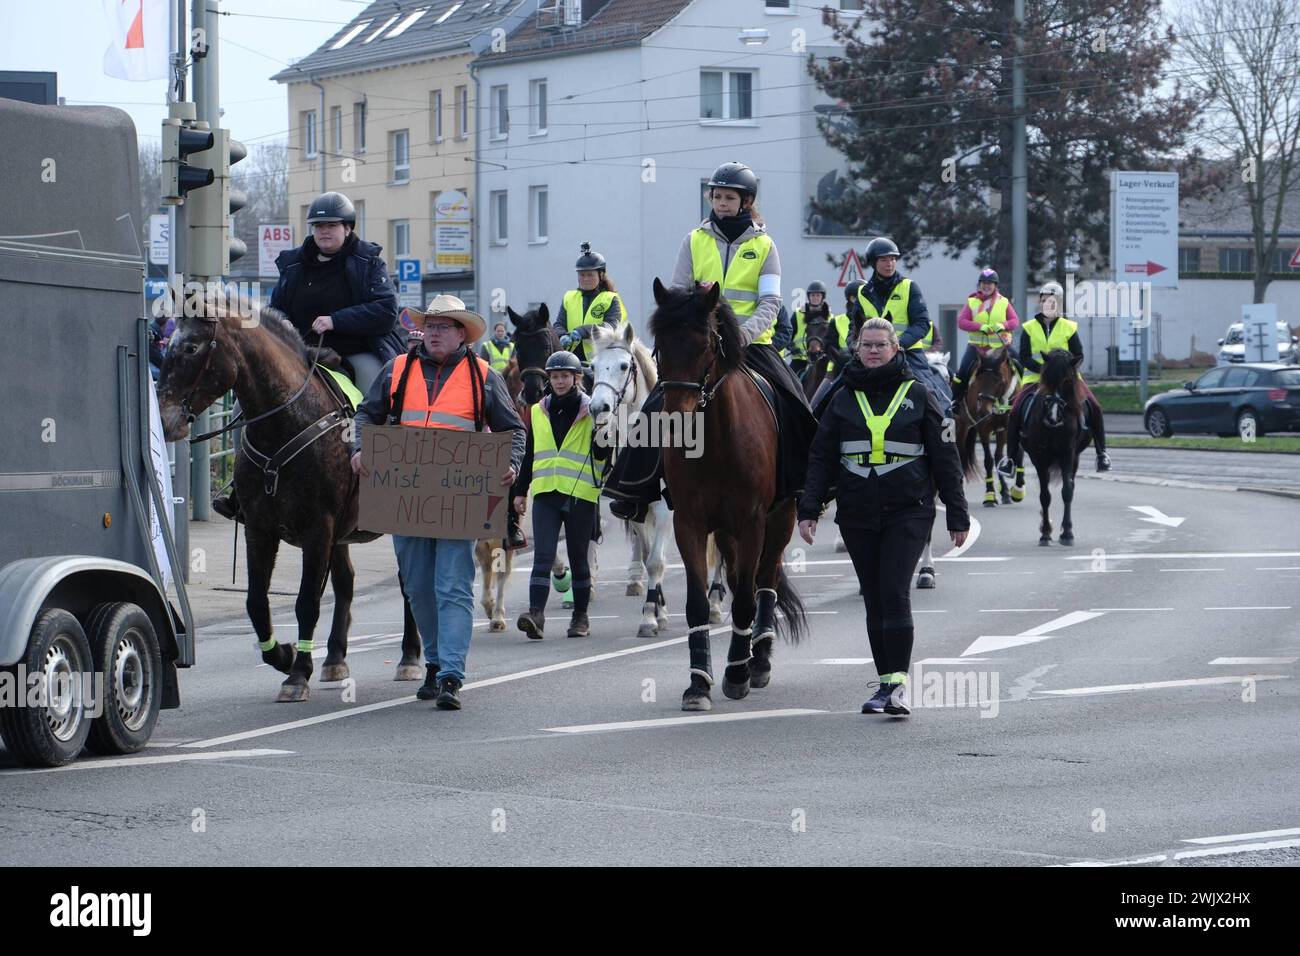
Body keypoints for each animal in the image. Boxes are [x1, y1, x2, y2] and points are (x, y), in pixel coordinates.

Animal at [156, 306, 421, 702]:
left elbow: (307, 602)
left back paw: (409, 656)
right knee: (346, 582)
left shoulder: (318, 530)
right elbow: (255, 602)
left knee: (409, 584)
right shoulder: (260, 529)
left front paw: (297, 674)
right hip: (341, 535)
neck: (288, 421)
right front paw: (284, 655)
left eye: (190, 347)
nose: (163, 417)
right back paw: (335, 657)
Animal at [590, 325, 670, 639]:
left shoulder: (665, 511)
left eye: (624, 366)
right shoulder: (637, 512)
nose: (597, 407)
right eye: (592, 367)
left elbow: (657, 561)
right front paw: (657, 613)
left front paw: (649, 618)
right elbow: (649, 558)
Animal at [650, 277, 800, 712]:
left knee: (764, 582)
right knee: (738, 579)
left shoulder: (753, 522)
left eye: (705, 344)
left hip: (780, 519)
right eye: (660, 344)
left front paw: (736, 675)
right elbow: (698, 602)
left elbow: (748, 598)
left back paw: (759, 660)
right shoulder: (690, 523)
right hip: (726, 531)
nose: (675, 419)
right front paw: (699, 684)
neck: (715, 443)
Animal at [956, 345, 1024, 509]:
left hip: (1000, 431)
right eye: (979, 379)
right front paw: (990, 496)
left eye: (998, 380)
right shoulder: (984, 428)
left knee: (999, 455)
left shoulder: (1009, 427)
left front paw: (1017, 491)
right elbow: (988, 461)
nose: (983, 411)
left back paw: (1005, 492)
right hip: (962, 426)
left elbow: (1017, 454)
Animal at [1008, 348, 1092, 546]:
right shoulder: (1040, 458)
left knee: (1071, 486)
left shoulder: (1068, 454)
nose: (1053, 416)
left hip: (1075, 459)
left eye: (1067, 380)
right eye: (1046, 379)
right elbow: (1045, 496)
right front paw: (1045, 532)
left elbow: (1067, 492)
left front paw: (1067, 533)